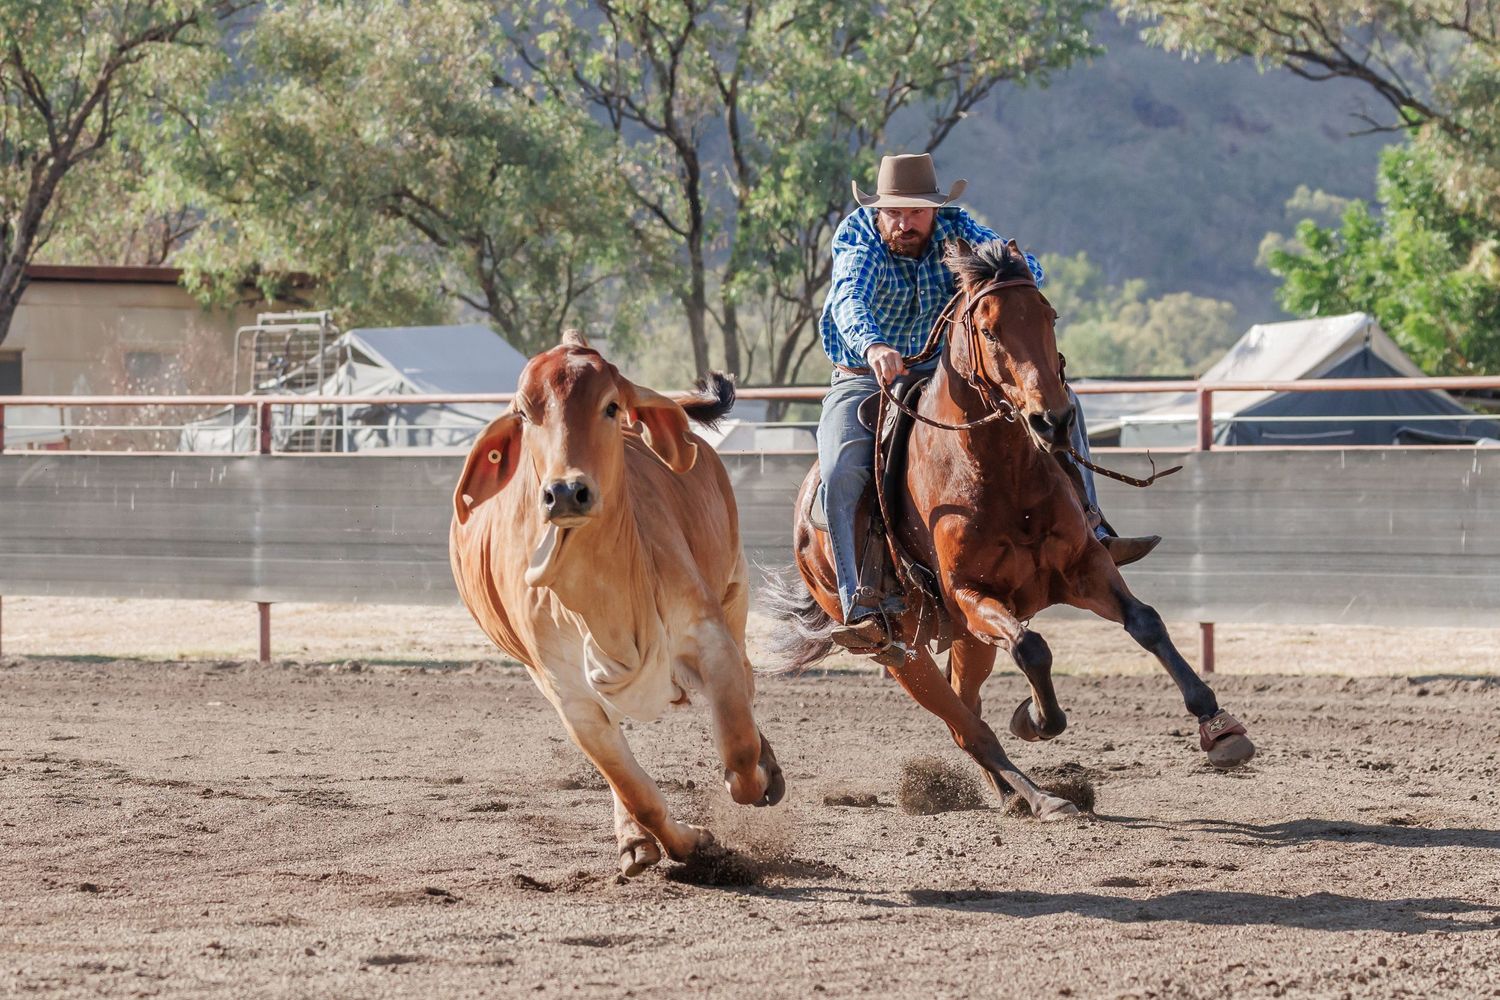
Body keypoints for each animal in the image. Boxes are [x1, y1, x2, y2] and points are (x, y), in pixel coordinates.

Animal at [449, 330, 785, 877]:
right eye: (524, 413)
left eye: (610, 406)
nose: (566, 491)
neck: (604, 606)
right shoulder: (568, 694)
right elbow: (634, 789)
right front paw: (691, 845)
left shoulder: (708, 634)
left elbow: (738, 746)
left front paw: (753, 777)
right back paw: (634, 839)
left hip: (734, 591)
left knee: (749, 682)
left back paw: (768, 766)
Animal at [765, 237, 1256, 820]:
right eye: (989, 329)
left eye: (1049, 315)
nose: (1053, 420)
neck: (997, 474)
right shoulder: (970, 594)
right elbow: (1032, 648)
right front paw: (1037, 719)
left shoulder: (1084, 566)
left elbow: (1147, 623)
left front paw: (1219, 727)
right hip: (903, 651)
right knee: (964, 724)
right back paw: (1041, 797)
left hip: (965, 640)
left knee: (967, 702)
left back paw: (1010, 794)